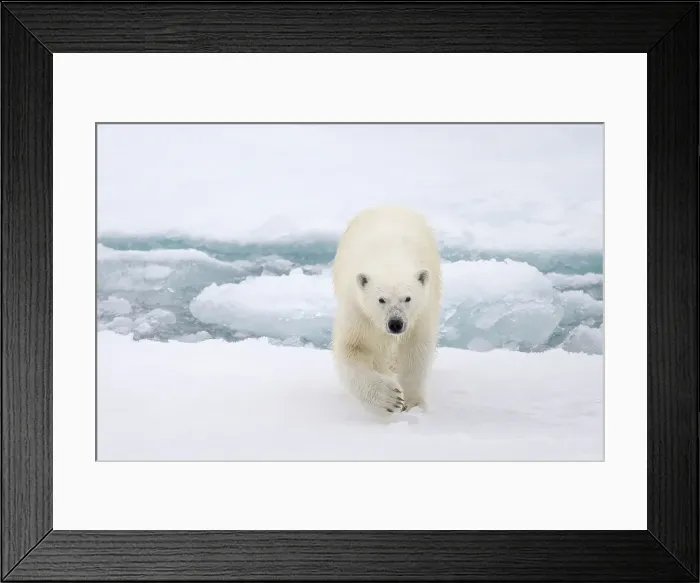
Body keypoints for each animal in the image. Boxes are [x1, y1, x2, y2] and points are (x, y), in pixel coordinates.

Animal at [330, 205, 442, 415]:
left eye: (407, 298)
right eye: (381, 299)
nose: (395, 324)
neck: (389, 259)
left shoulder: (421, 314)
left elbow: (416, 351)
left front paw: (414, 404)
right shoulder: (358, 312)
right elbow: (352, 349)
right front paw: (390, 399)